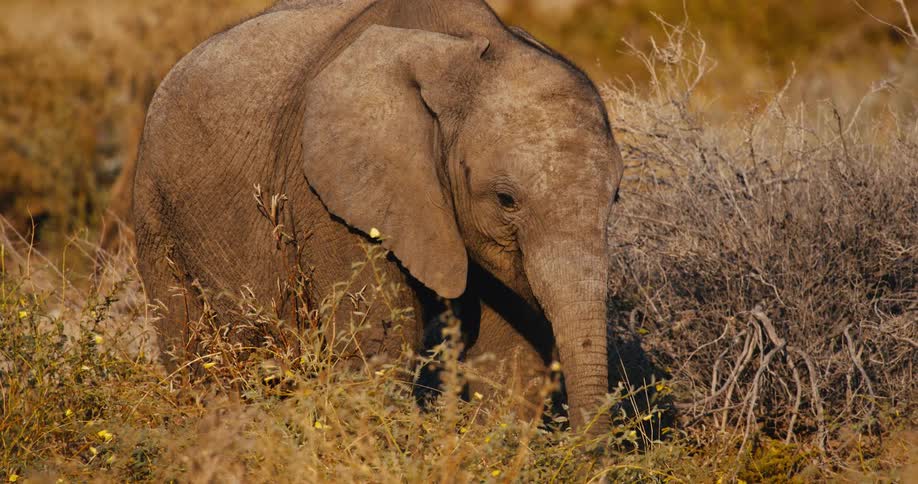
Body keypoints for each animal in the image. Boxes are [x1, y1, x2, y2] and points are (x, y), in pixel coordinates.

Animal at [133, 0, 624, 432]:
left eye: (615, 198)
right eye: (506, 199)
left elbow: (509, 360)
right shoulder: (331, 196)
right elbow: (378, 347)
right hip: (155, 204)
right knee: (187, 342)